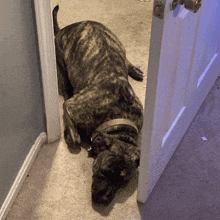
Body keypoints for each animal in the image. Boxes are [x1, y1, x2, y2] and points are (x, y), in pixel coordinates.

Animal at [52, 5, 144, 206]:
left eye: (122, 181)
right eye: (104, 171)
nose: (104, 199)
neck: (117, 116)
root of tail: (68, 27)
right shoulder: (71, 106)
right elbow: (75, 137)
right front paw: (71, 135)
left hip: (118, 44)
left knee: (125, 59)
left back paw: (133, 69)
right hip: (60, 62)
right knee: (65, 84)